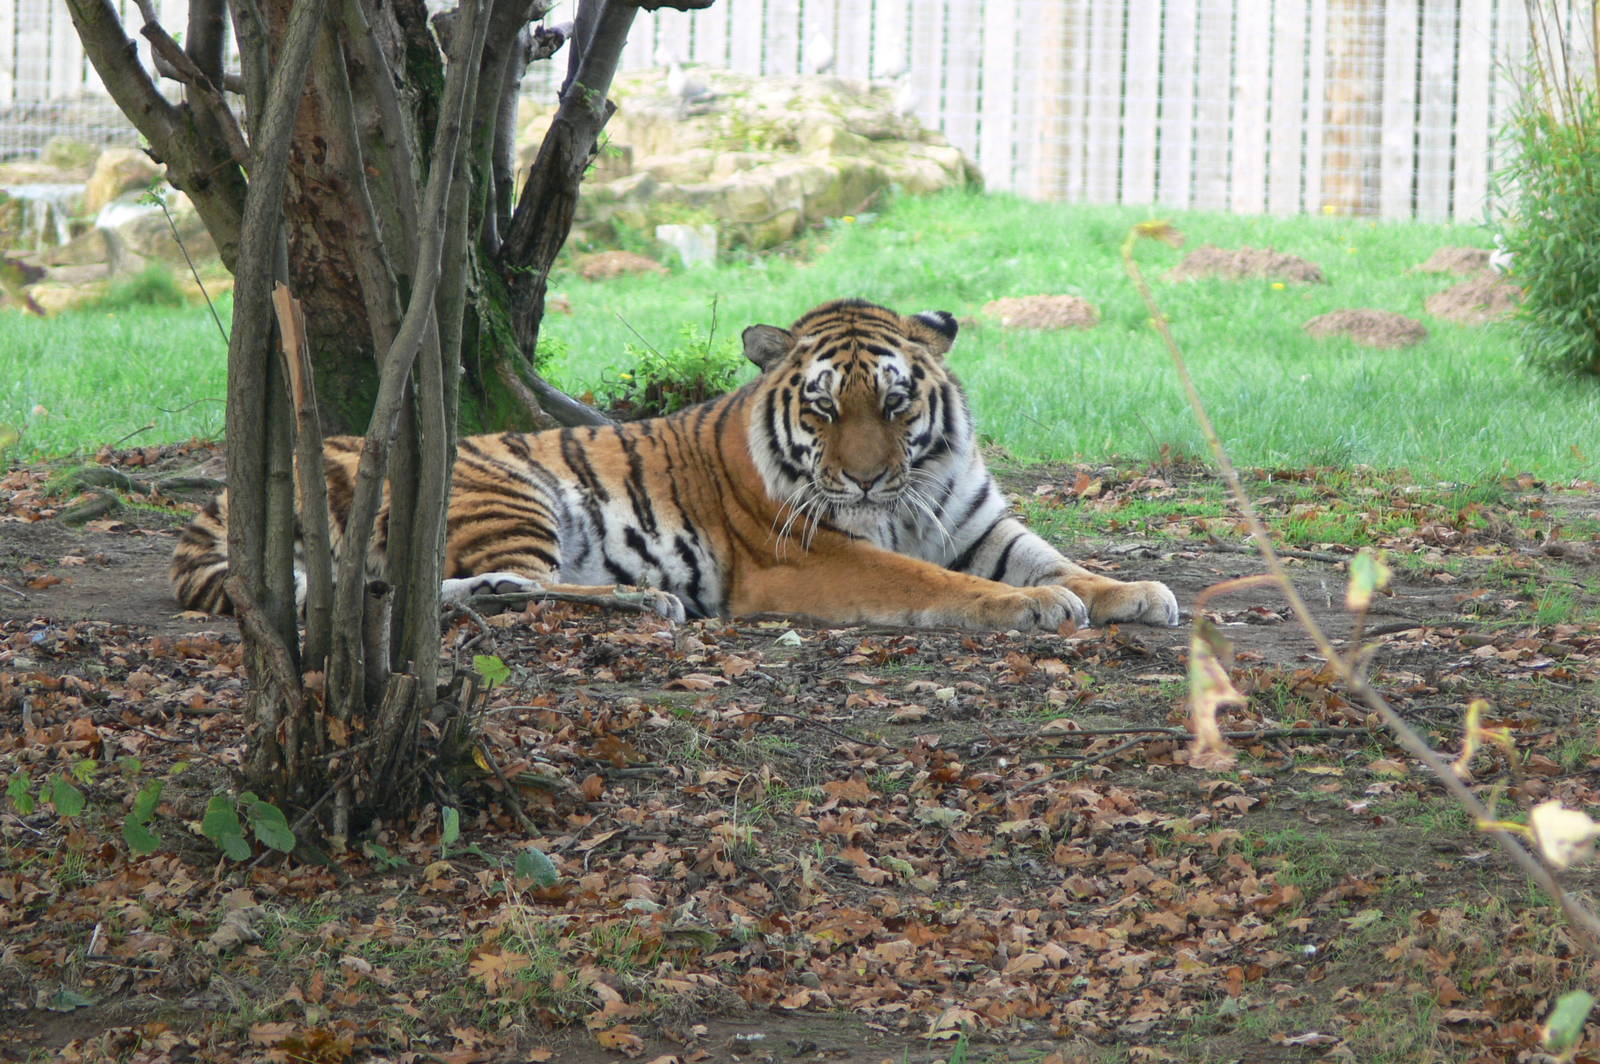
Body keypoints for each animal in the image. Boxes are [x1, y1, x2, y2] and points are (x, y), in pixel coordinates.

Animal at [171, 298, 1179, 631]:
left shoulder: (978, 521)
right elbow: (936, 582)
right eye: (823, 407)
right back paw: (649, 602)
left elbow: (1060, 559)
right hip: (502, 497)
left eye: (896, 404)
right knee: (468, 589)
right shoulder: (810, 558)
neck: (908, 493)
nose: (860, 480)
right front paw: (1033, 609)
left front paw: (1136, 592)